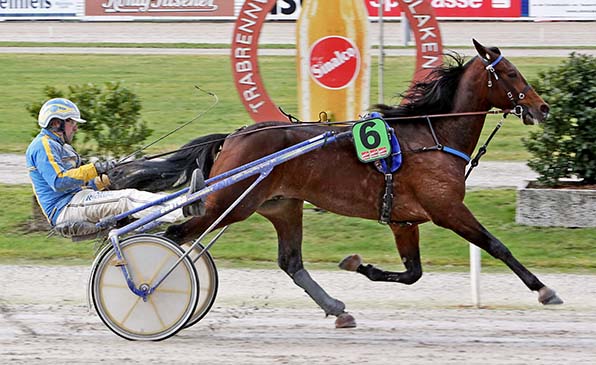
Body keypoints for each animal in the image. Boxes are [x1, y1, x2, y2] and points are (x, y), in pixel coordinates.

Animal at [109, 40, 560, 328]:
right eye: (510, 73)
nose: (542, 108)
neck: (432, 136)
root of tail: (234, 136)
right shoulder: (447, 209)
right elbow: (497, 246)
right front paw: (544, 290)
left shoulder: (405, 220)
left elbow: (412, 273)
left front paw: (357, 264)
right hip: (229, 204)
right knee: (173, 237)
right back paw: (146, 289)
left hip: (281, 205)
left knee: (290, 262)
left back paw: (338, 309)